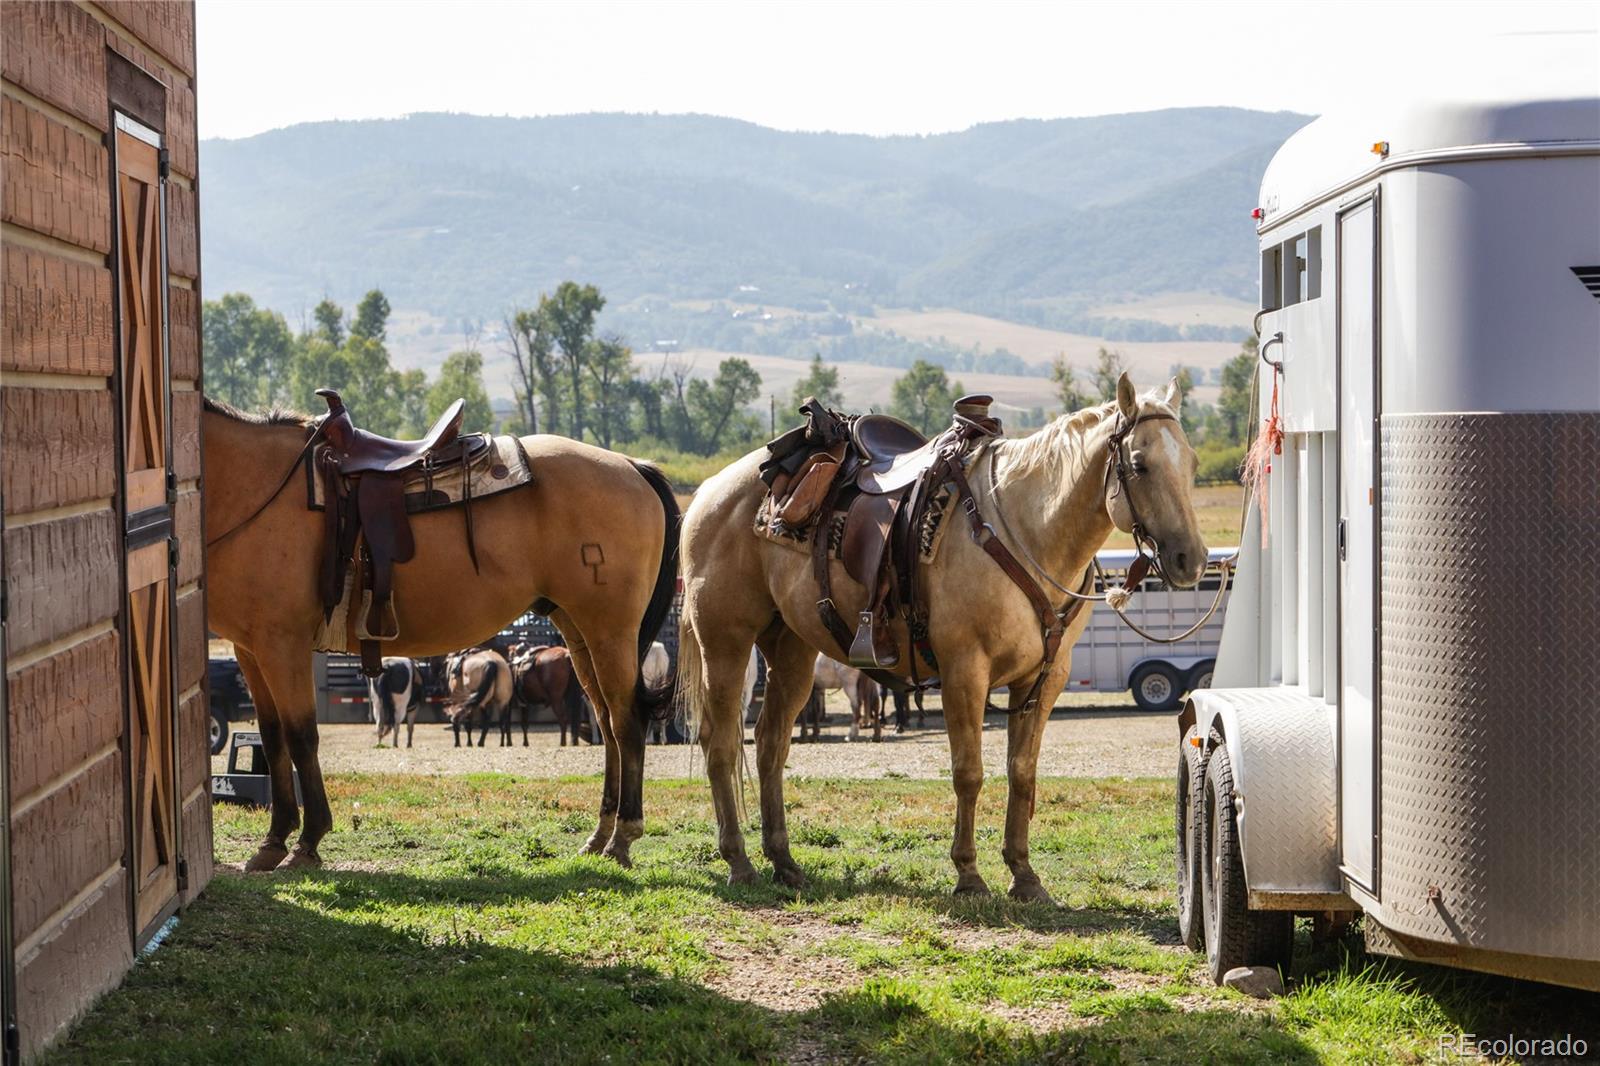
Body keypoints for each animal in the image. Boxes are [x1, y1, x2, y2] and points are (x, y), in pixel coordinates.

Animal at [200, 393, 675, 870]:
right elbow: (273, 738)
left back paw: (622, 837)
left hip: (610, 631)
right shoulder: (252, 649)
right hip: (579, 633)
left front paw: (307, 841)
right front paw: (273, 842)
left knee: (626, 722)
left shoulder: (284, 646)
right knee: (606, 722)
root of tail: (631, 466)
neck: (260, 487)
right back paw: (599, 836)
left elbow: (301, 737)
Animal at [681, 372, 1203, 896]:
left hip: (791, 648)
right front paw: (968, 874)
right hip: (725, 644)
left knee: (771, 744)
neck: (1024, 530)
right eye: (1139, 464)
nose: (1190, 560)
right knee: (720, 743)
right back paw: (739, 863)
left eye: (1192, 463)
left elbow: (1022, 773)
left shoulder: (1045, 677)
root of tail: (709, 492)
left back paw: (784, 862)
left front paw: (1023, 873)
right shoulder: (964, 672)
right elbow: (968, 772)